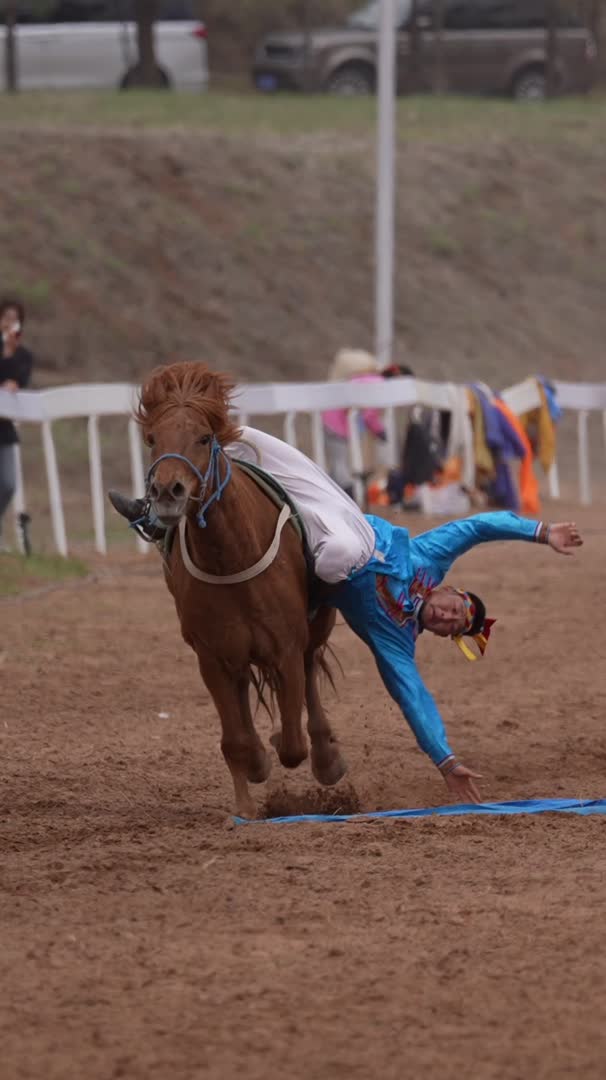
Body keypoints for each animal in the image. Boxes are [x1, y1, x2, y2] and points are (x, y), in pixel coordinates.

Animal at [136, 362, 345, 816]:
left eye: (203, 437)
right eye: (152, 438)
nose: (167, 491)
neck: (229, 557)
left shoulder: (285, 646)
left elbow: (292, 743)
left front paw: (291, 749)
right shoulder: (212, 655)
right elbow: (236, 740)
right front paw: (248, 791)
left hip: (315, 628)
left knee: (309, 679)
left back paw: (326, 756)